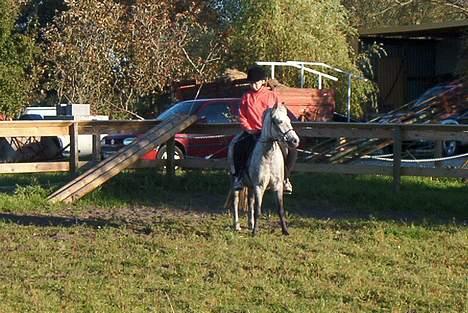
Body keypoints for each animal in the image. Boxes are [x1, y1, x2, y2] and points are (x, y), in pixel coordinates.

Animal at [228, 102, 300, 234]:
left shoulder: (277, 185)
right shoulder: (259, 186)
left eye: (288, 120)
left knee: (250, 201)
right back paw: (237, 225)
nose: (295, 141)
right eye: (279, 121)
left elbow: (280, 209)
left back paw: (250, 224)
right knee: (235, 201)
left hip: (250, 185)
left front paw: (285, 231)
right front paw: (255, 232)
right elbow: (258, 209)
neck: (268, 155)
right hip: (235, 180)